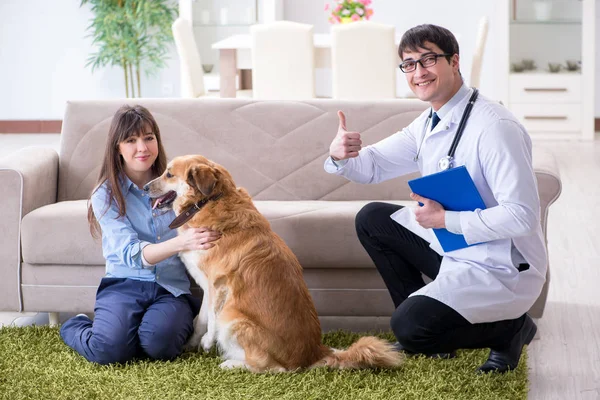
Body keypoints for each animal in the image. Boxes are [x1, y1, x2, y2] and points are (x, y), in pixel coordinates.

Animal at [144, 155, 404, 372]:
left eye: (169, 174)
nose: (144, 187)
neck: (208, 201)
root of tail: (313, 353)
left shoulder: (219, 285)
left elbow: (212, 320)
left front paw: (207, 342)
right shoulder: (207, 286)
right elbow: (200, 320)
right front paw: (191, 343)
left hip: (235, 318)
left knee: (272, 368)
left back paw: (232, 363)